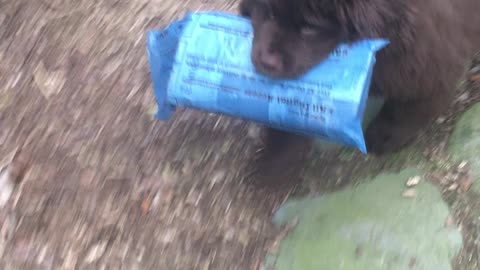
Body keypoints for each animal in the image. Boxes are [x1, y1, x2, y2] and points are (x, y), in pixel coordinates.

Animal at [239, 0, 480, 184]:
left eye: (309, 28)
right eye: (269, 12)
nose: (266, 61)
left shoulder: (428, 63)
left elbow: (407, 110)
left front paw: (384, 137)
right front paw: (275, 159)